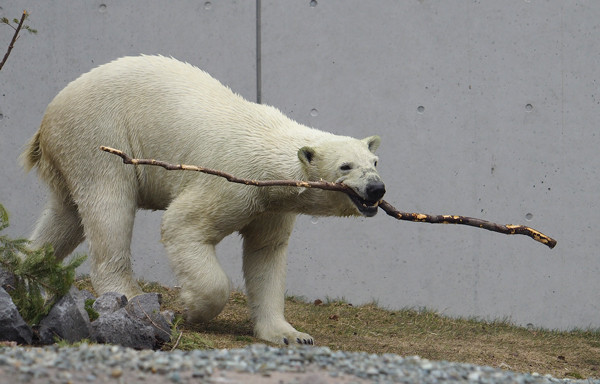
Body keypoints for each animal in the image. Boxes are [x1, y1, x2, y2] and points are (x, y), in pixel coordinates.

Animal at [22, 55, 384, 346]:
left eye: (375, 162)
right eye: (346, 166)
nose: (377, 189)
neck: (269, 150)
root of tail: (49, 115)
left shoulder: (272, 205)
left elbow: (266, 254)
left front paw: (291, 334)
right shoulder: (232, 180)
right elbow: (183, 225)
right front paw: (193, 308)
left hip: (70, 153)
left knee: (66, 215)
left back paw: (28, 267)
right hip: (99, 136)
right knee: (109, 206)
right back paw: (133, 297)